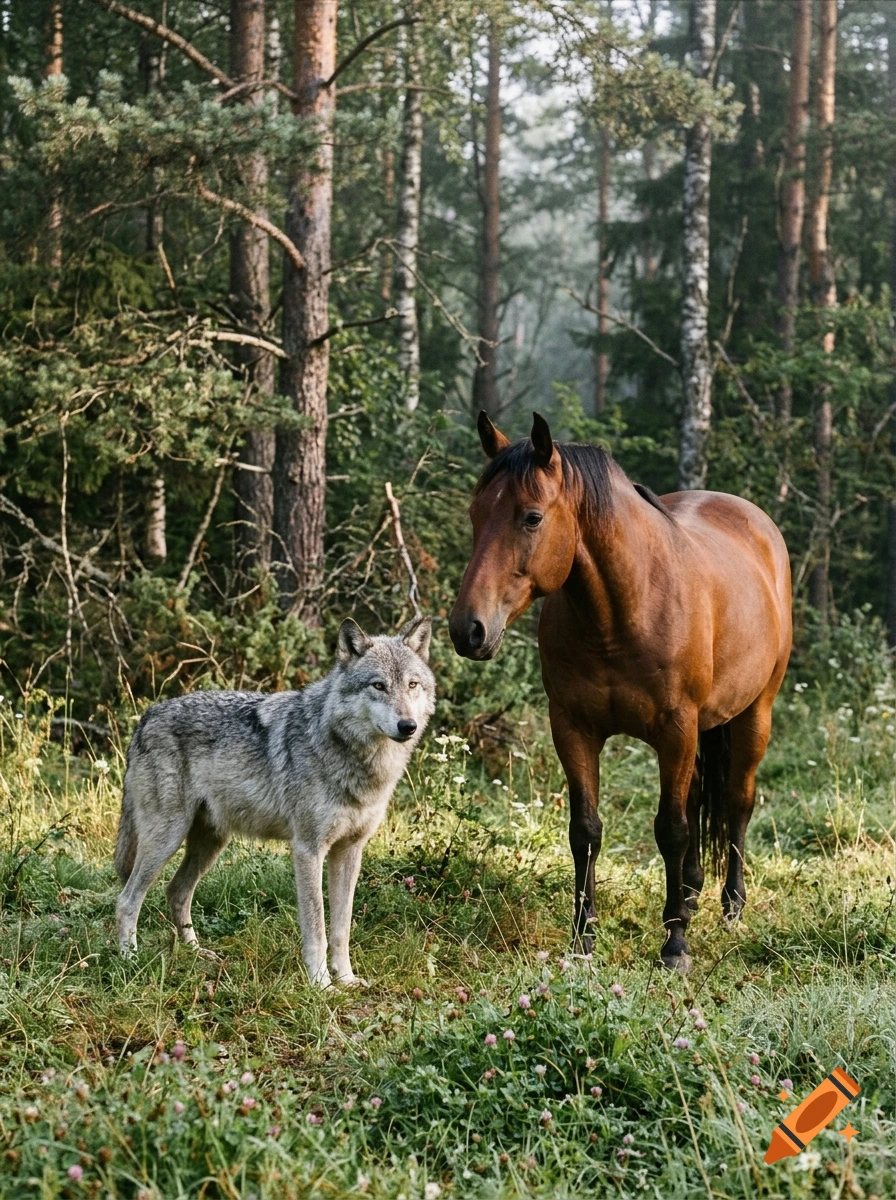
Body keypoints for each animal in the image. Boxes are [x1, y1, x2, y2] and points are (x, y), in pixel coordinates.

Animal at [114, 616, 435, 987]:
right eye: (378, 686)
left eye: (412, 685)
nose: (407, 725)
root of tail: (146, 716)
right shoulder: (308, 849)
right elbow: (317, 927)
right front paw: (321, 984)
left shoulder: (350, 851)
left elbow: (341, 928)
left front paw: (347, 979)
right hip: (166, 839)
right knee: (127, 899)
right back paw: (129, 959)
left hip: (210, 843)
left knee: (176, 892)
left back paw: (197, 954)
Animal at [449, 412, 792, 971]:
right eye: (476, 513)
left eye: (531, 518)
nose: (468, 630)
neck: (623, 611)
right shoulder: (573, 728)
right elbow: (586, 831)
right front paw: (582, 939)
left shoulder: (676, 730)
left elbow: (671, 829)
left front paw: (675, 945)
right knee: (697, 801)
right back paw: (690, 895)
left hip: (753, 715)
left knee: (737, 804)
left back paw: (730, 909)